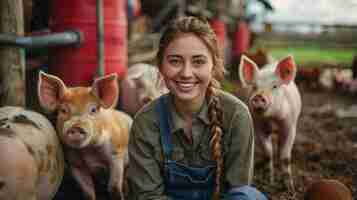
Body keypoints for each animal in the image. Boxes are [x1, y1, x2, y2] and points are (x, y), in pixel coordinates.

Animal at [38, 72, 132, 200]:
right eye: (63, 110)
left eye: (93, 110)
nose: (76, 127)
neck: (88, 151)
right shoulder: (75, 164)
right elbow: (88, 192)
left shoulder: (116, 154)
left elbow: (114, 188)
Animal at [236, 55, 300, 190]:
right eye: (254, 87)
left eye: (275, 86)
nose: (258, 96)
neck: (272, 119)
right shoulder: (258, 128)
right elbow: (268, 153)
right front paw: (268, 182)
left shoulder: (290, 127)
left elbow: (285, 157)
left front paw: (289, 188)